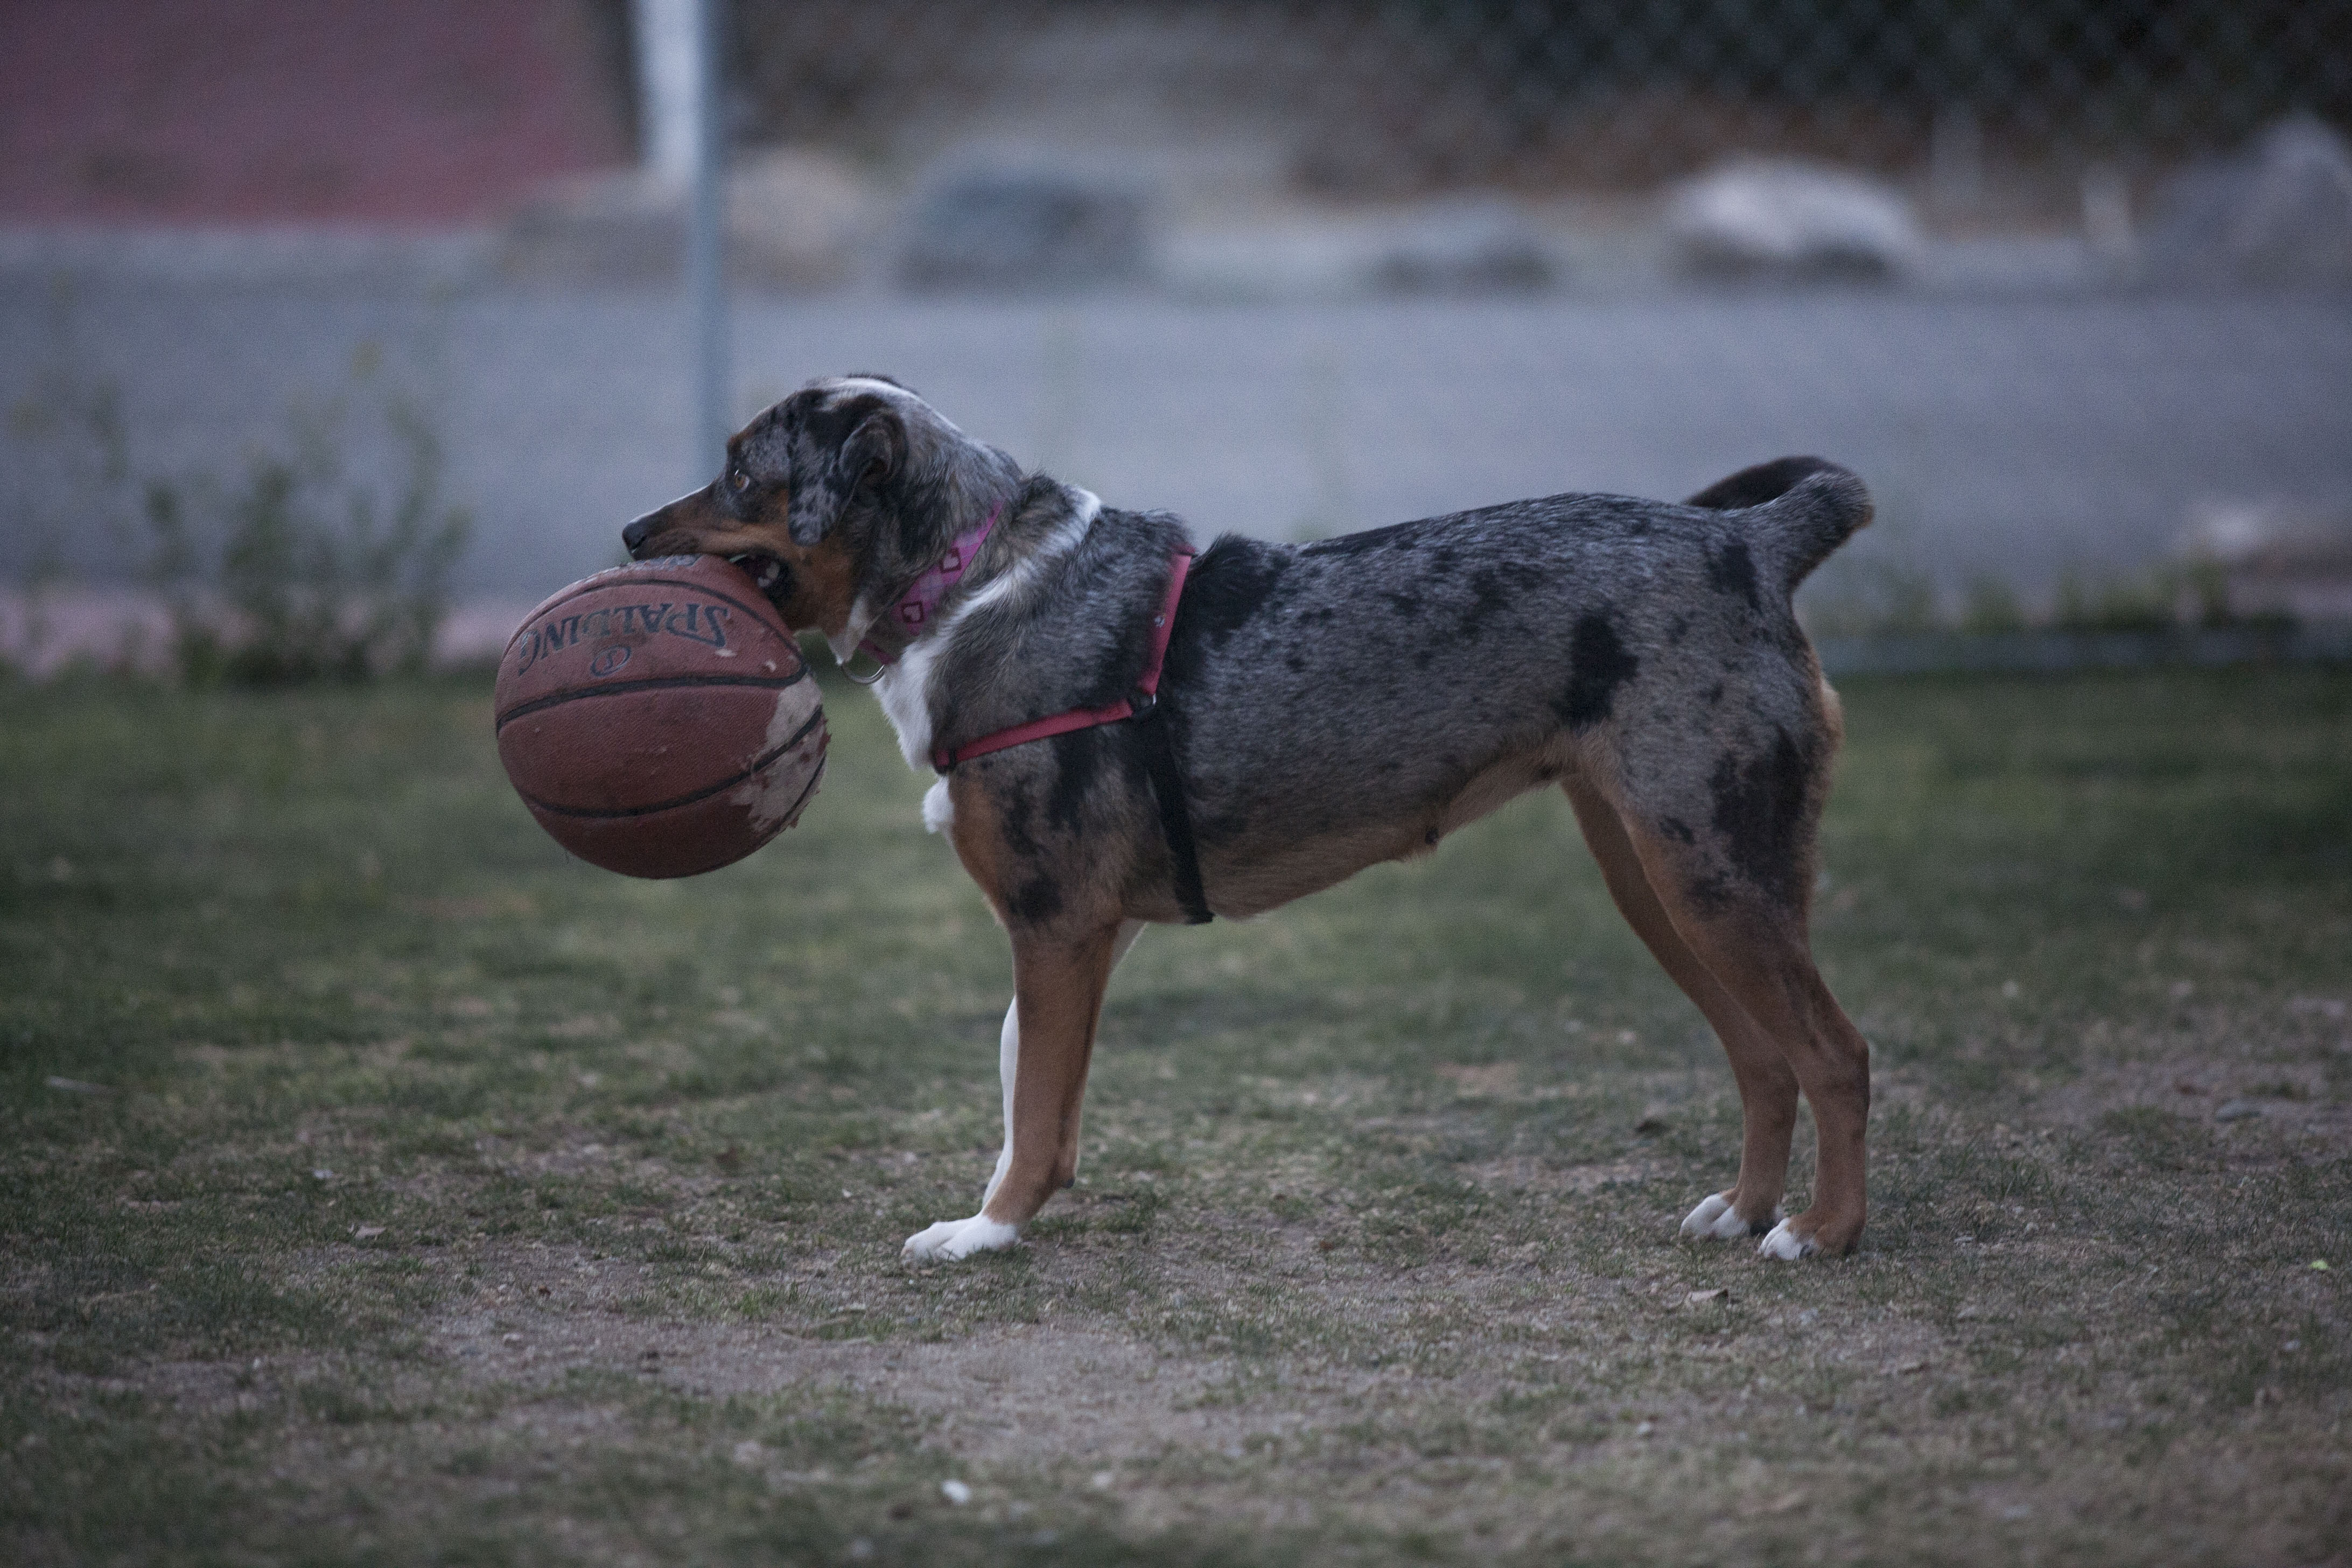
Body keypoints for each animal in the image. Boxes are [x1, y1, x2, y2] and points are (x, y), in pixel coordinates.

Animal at [625, 376, 1872, 1260]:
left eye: (742, 472)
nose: (633, 535)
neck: (970, 580)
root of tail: (1752, 540)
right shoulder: (1078, 935)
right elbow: (1030, 1086)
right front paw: (1000, 1213)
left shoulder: (1053, 924)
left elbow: (1034, 1106)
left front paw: (987, 1231)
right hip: (1664, 881)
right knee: (1764, 1058)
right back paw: (1745, 1210)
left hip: (1711, 875)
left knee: (1834, 1052)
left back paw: (1819, 1233)